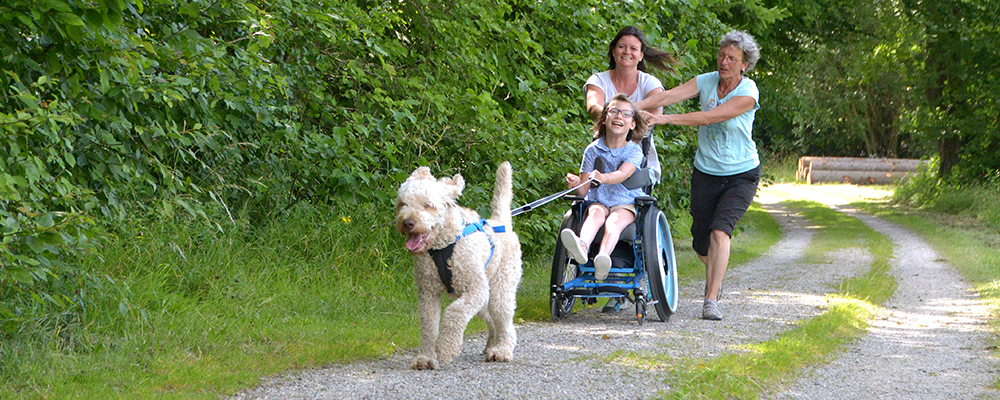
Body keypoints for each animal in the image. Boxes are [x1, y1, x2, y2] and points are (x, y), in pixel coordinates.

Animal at [396, 161, 528, 370]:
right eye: (403, 204)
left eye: (428, 205)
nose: (407, 222)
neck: (443, 245)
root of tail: (501, 221)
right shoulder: (428, 293)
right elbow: (428, 326)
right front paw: (425, 357)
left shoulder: (476, 288)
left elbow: (453, 313)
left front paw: (445, 348)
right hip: (482, 300)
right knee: (492, 321)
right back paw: (491, 345)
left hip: (500, 290)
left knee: (505, 321)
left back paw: (502, 350)